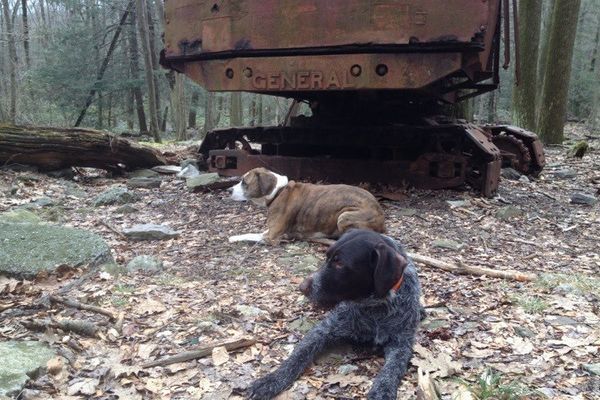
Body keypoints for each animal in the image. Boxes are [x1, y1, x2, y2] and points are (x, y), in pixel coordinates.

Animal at [230, 166, 384, 244]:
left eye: (244, 182)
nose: (229, 190)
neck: (278, 191)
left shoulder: (272, 236)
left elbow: (250, 234)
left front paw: (233, 238)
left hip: (344, 216)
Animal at [248, 230, 422, 398]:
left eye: (340, 263)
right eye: (327, 258)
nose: (301, 287)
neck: (374, 308)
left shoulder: (401, 344)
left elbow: (392, 369)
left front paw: (382, 390)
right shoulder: (323, 330)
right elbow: (298, 354)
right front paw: (272, 379)